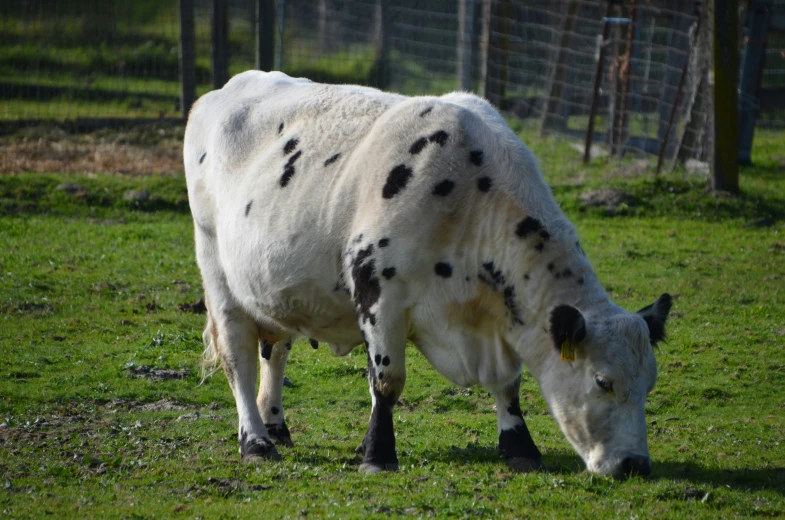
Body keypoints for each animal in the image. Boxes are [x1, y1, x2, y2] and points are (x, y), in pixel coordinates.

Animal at [182, 71, 668, 482]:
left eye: (650, 382)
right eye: (603, 381)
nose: (635, 465)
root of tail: (221, 91)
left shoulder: (498, 321)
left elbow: (509, 384)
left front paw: (520, 447)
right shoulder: (379, 295)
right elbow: (386, 381)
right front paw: (378, 454)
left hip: (274, 289)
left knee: (276, 350)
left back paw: (276, 424)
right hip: (218, 273)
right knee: (239, 358)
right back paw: (256, 441)